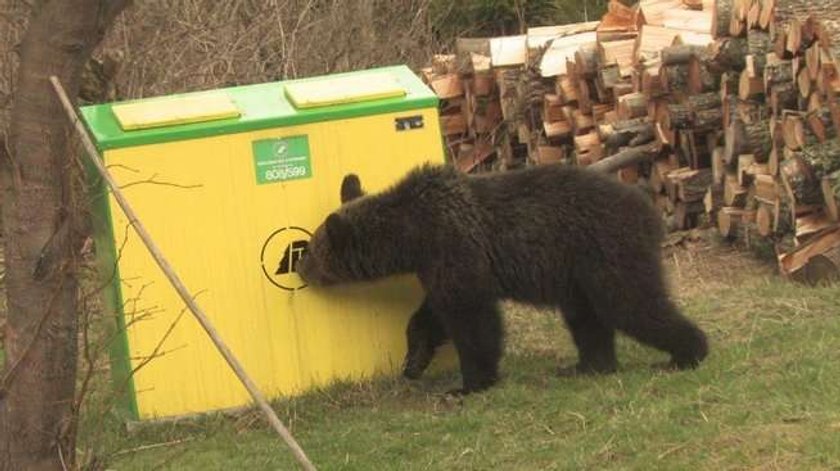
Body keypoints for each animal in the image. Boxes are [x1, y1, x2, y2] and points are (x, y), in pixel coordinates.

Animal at [296, 164, 708, 396]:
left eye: (312, 250)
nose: (300, 267)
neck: (412, 235)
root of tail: (649, 209)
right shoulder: (441, 266)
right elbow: (431, 315)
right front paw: (414, 360)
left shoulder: (457, 249)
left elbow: (472, 321)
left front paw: (468, 384)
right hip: (577, 274)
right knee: (587, 320)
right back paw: (587, 365)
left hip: (605, 250)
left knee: (633, 303)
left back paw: (687, 352)